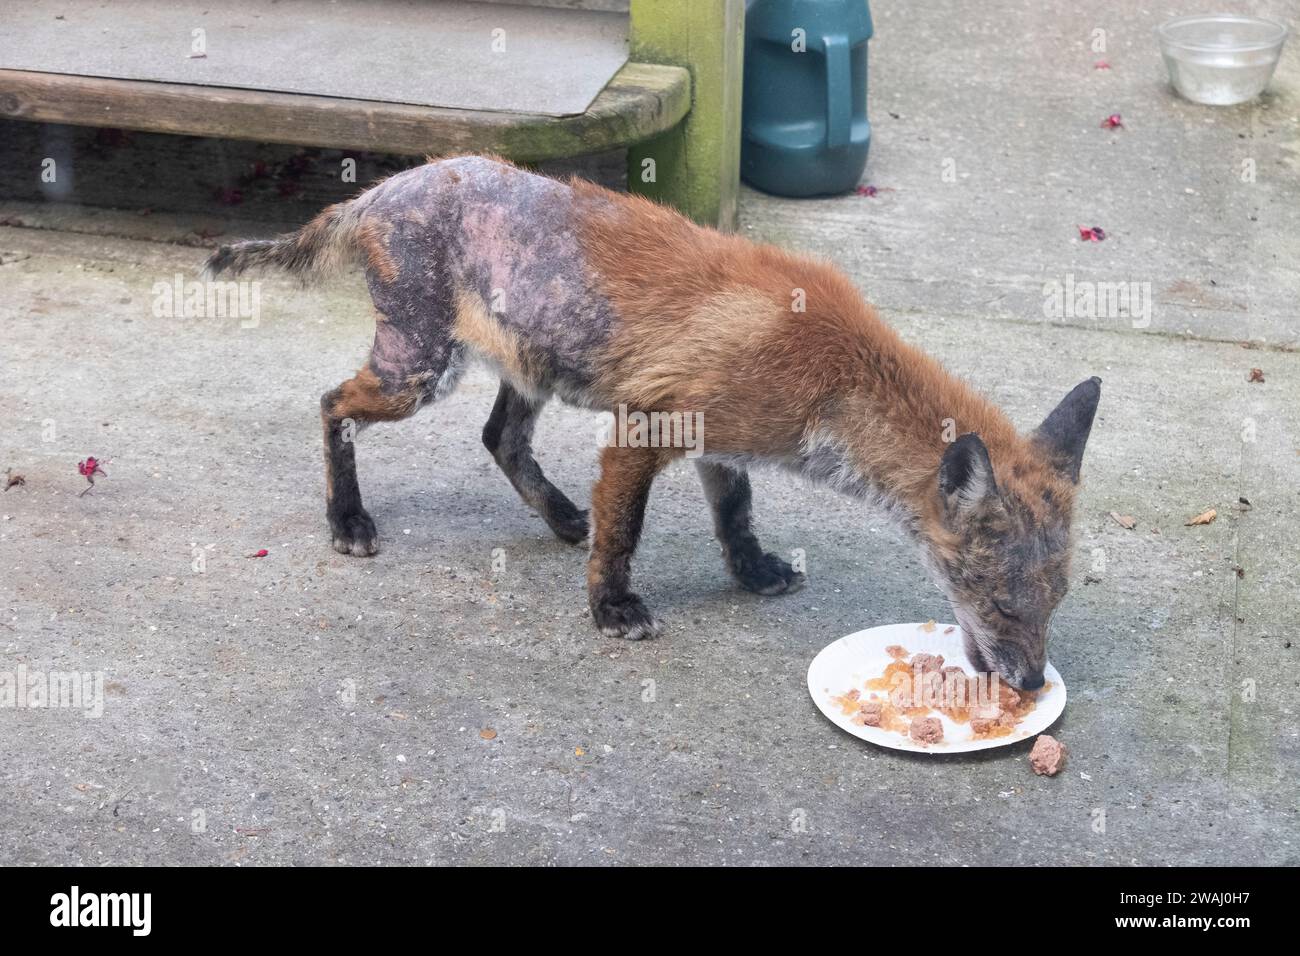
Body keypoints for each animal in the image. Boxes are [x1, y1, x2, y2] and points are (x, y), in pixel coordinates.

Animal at [205, 154, 1100, 691]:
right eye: (1002, 603)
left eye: (1055, 602)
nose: (1029, 683)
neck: (832, 371)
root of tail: (387, 184)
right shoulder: (646, 425)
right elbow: (627, 531)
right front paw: (611, 608)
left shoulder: (723, 442)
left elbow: (736, 518)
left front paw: (753, 573)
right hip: (417, 372)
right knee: (332, 406)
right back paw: (347, 518)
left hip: (528, 365)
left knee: (501, 440)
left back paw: (562, 515)